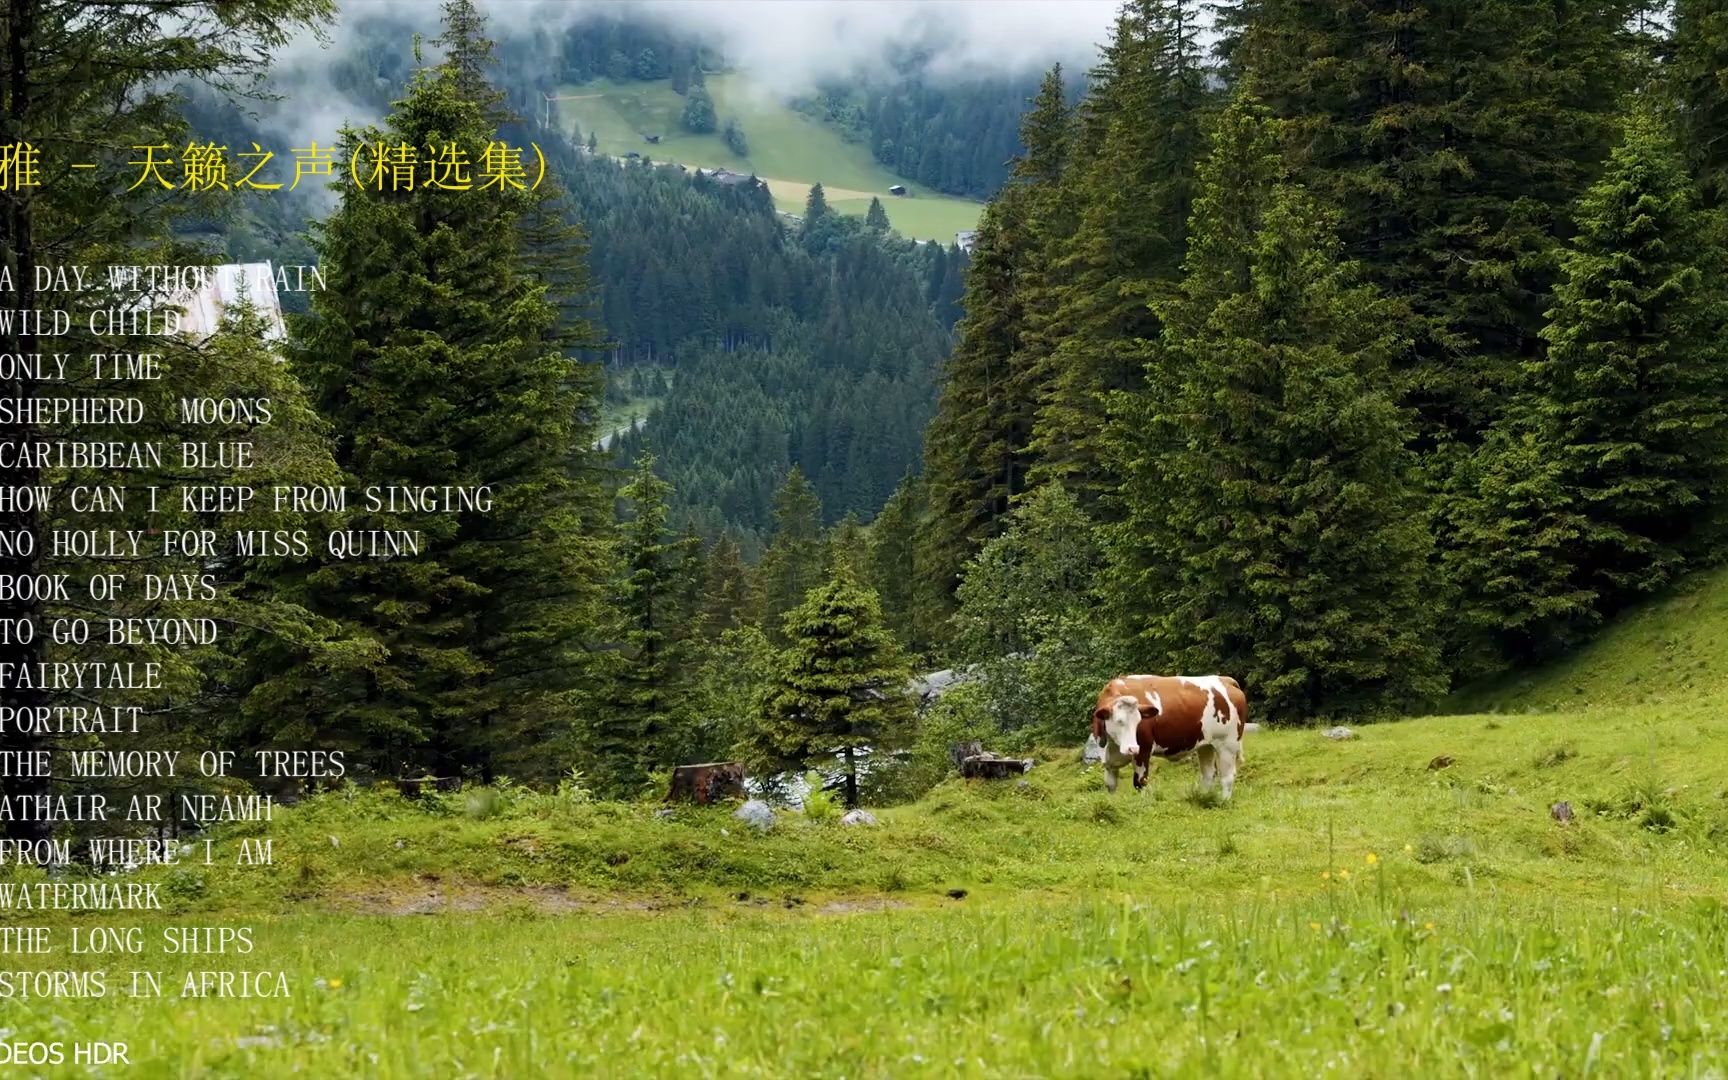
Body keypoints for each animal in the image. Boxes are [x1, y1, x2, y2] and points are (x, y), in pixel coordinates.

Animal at [1092, 673, 1257, 801]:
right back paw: (1204, 797)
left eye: (1139, 721)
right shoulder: (1108, 761)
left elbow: (1140, 782)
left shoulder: (1144, 749)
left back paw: (1223, 801)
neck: (1113, 745)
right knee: (1208, 774)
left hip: (1227, 743)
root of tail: (1225, 680)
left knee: (1227, 776)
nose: (1132, 748)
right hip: (1206, 745)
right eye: (1119, 721)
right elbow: (1110, 785)